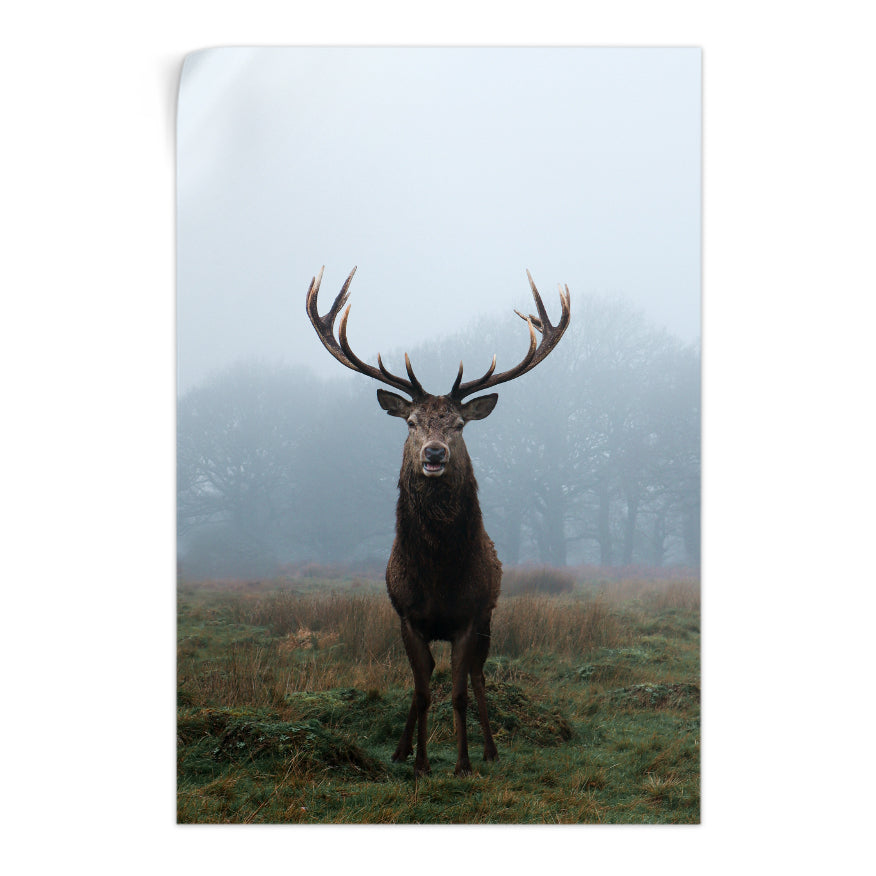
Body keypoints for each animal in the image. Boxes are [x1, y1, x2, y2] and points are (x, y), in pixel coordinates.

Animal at [305, 266, 570, 776]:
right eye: (410, 422)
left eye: (459, 425)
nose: (434, 454)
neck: (438, 575)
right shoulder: (408, 617)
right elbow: (424, 690)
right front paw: (420, 763)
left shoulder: (470, 616)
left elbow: (460, 692)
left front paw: (463, 762)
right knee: (422, 681)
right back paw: (401, 749)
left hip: (489, 618)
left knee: (479, 676)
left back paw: (489, 749)